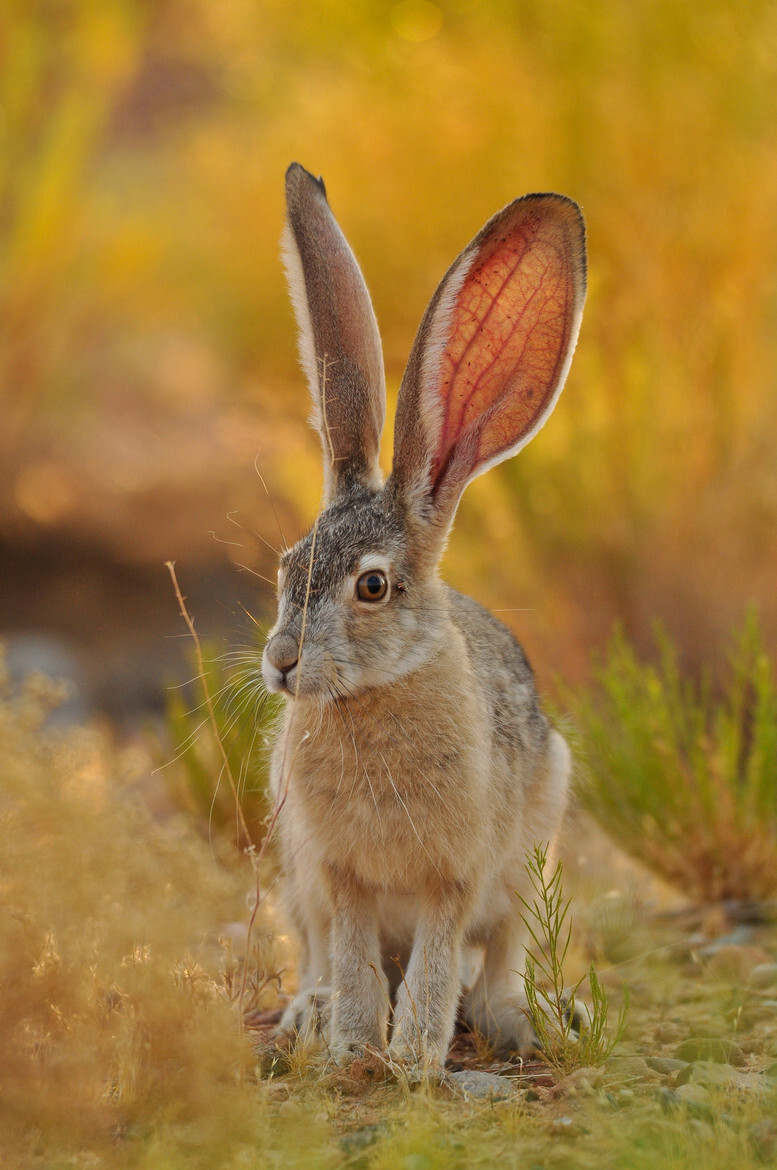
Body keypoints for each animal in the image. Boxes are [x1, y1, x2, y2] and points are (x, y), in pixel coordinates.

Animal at [261, 162, 586, 1067]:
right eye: (287, 567)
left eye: (372, 587)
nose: (281, 662)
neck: (372, 697)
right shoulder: (337, 877)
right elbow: (354, 956)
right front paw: (351, 1047)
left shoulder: (456, 876)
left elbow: (438, 967)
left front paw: (409, 1059)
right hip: (293, 875)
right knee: (316, 951)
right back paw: (307, 1015)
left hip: (533, 847)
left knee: (499, 958)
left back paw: (521, 1021)